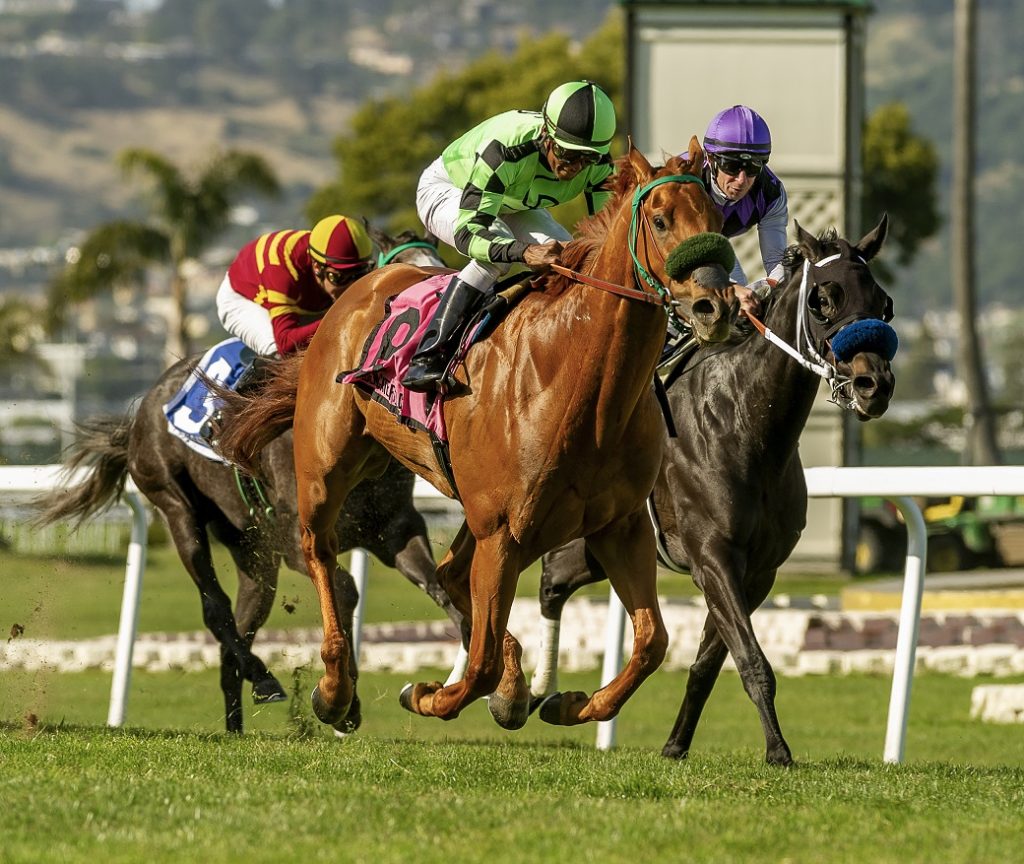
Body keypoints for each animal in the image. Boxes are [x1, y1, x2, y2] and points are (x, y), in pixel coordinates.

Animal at [34, 228, 460, 728]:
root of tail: (143, 410)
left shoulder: (395, 528)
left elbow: (443, 588)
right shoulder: (299, 537)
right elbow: (345, 591)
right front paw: (342, 700)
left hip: (253, 553)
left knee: (238, 630)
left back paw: (237, 723)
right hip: (174, 504)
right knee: (215, 610)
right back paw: (266, 679)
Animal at [220, 143, 741, 737]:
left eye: (718, 220)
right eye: (660, 220)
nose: (715, 306)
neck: (578, 385)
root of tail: (359, 290)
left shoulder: (620, 526)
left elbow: (652, 642)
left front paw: (568, 703)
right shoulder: (502, 532)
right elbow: (483, 661)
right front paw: (430, 694)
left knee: (447, 575)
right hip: (326, 468)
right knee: (320, 551)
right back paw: (334, 690)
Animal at [536, 213, 897, 761]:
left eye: (883, 302)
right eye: (823, 299)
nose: (873, 385)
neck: (748, 425)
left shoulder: (758, 571)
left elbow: (708, 665)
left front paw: (675, 744)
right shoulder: (713, 555)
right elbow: (752, 660)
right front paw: (779, 751)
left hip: (598, 547)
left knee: (553, 579)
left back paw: (543, 699)